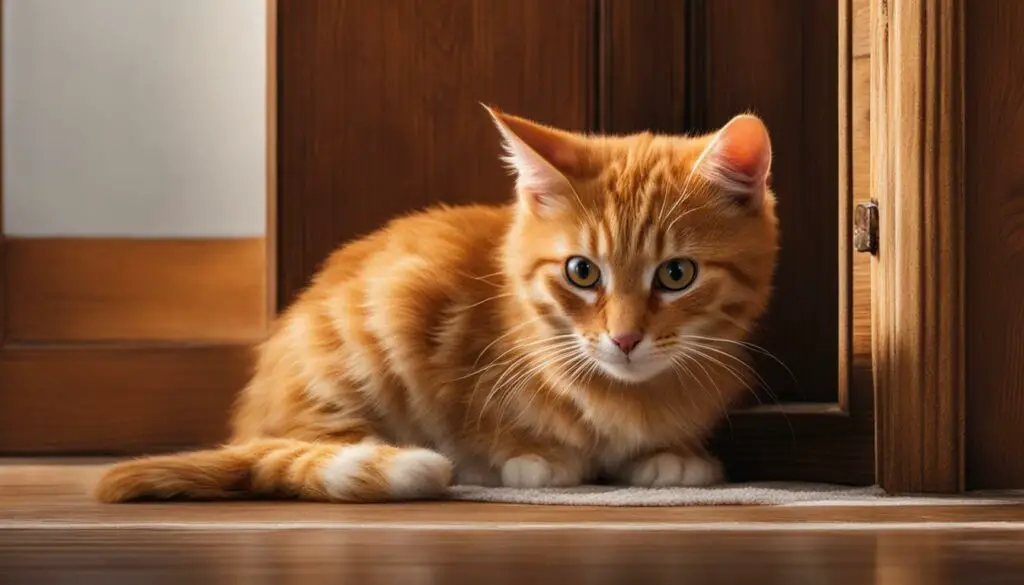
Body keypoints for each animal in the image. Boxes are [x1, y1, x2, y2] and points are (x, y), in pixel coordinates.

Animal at [94, 106, 774, 504]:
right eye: (582, 272)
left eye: (676, 274)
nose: (626, 339)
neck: (630, 395)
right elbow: (495, 424)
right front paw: (533, 457)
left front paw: (672, 455)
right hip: (365, 337)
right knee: (300, 446)